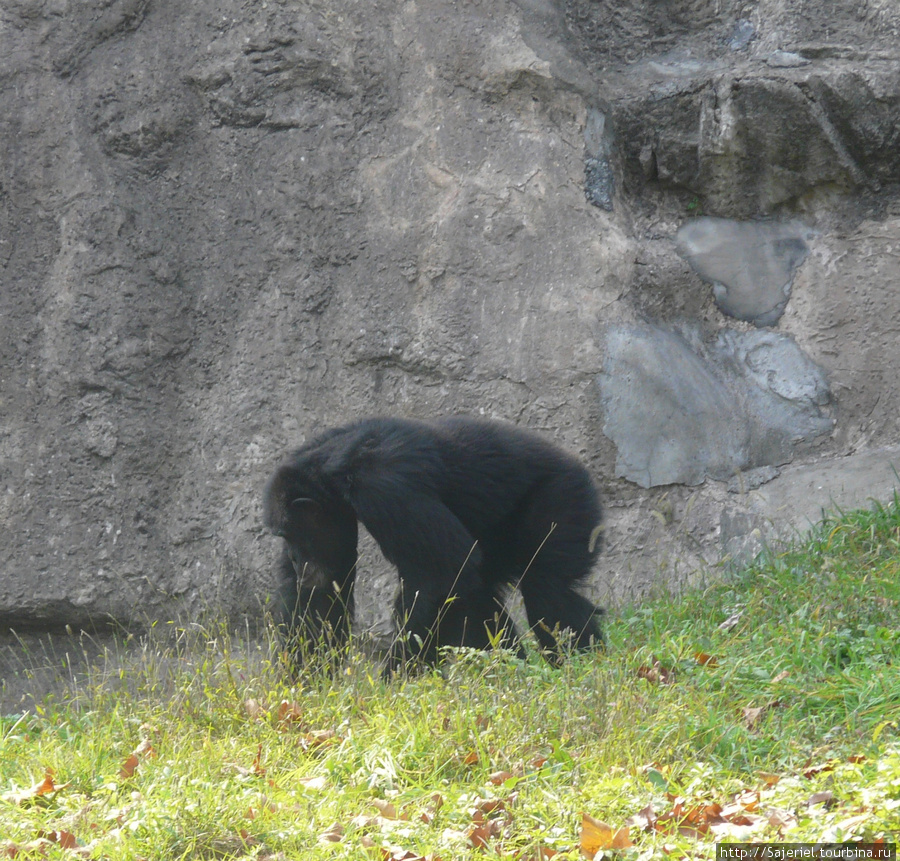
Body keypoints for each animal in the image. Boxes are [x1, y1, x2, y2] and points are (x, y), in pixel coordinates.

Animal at [264, 416, 608, 672]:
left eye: (291, 534)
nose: (294, 558)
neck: (333, 466)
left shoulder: (385, 488)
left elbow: (441, 572)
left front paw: (396, 678)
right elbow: (318, 600)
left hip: (565, 499)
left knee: (545, 590)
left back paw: (583, 668)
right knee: (482, 592)